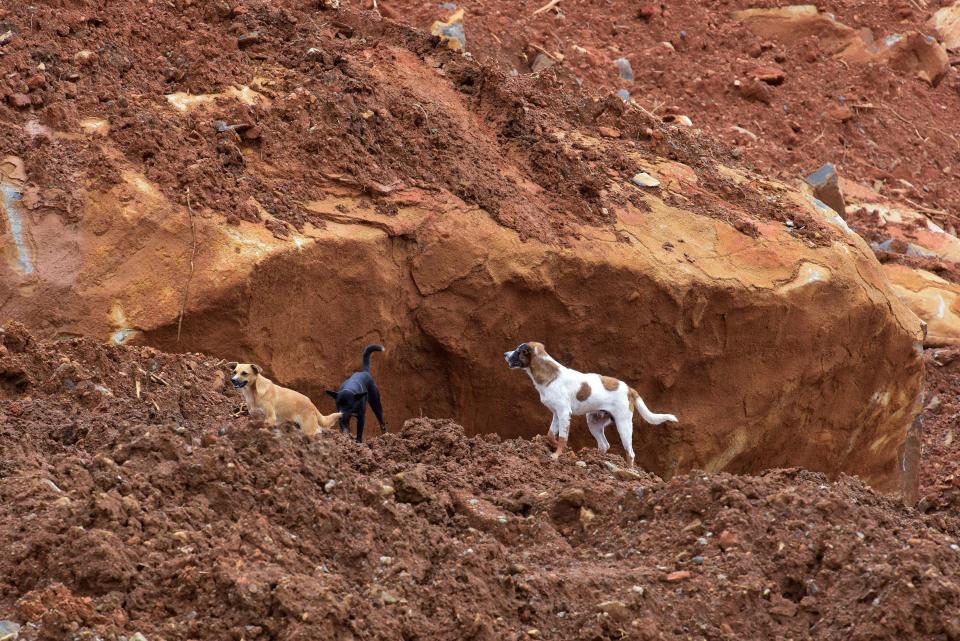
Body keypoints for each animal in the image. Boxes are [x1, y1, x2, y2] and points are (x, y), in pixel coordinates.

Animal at [506, 340, 680, 464]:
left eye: (518, 351)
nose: (504, 354)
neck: (550, 374)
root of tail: (630, 389)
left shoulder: (564, 413)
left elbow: (563, 438)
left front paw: (556, 455)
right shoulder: (556, 414)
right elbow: (550, 435)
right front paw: (555, 446)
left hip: (623, 426)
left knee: (630, 453)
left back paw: (629, 471)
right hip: (594, 422)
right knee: (604, 445)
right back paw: (595, 459)